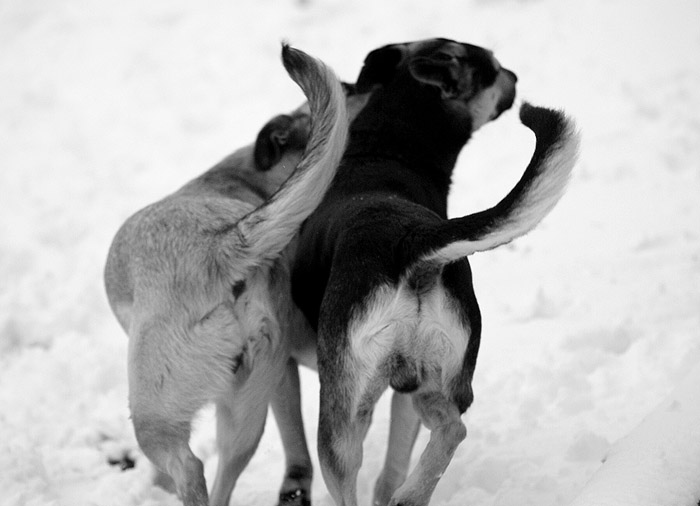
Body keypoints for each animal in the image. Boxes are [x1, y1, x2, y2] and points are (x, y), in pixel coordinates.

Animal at [104, 45, 350, 506]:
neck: (243, 180)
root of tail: (221, 247)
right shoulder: (283, 372)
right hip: (244, 411)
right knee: (228, 471)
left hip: (154, 408)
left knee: (189, 467)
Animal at [290, 38, 580, 506]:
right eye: (493, 67)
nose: (514, 75)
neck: (388, 146)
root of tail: (410, 238)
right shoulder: (408, 389)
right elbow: (395, 461)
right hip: (438, 375)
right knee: (450, 426)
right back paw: (412, 493)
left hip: (342, 418)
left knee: (350, 471)